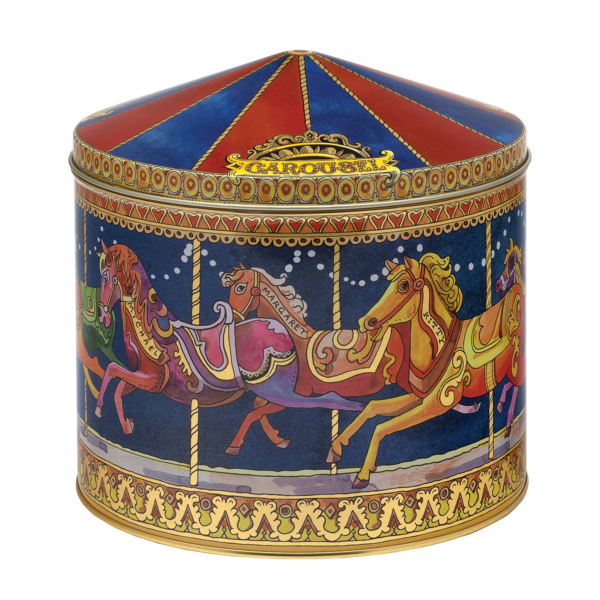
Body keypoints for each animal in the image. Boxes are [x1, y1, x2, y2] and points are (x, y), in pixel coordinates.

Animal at [93, 241, 362, 440]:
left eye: (106, 277)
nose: (103, 313)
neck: (149, 327)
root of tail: (280, 329)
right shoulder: (143, 376)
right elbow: (116, 381)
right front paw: (123, 423)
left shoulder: (153, 380)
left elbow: (113, 371)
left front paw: (106, 413)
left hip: (277, 389)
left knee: (321, 400)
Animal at [327, 252, 525, 488]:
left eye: (403, 285)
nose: (366, 321)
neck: (439, 348)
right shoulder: (418, 396)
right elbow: (372, 407)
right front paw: (336, 447)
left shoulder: (436, 404)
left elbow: (381, 428)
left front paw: (363, 474)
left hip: (516, 365)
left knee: (516, 387)